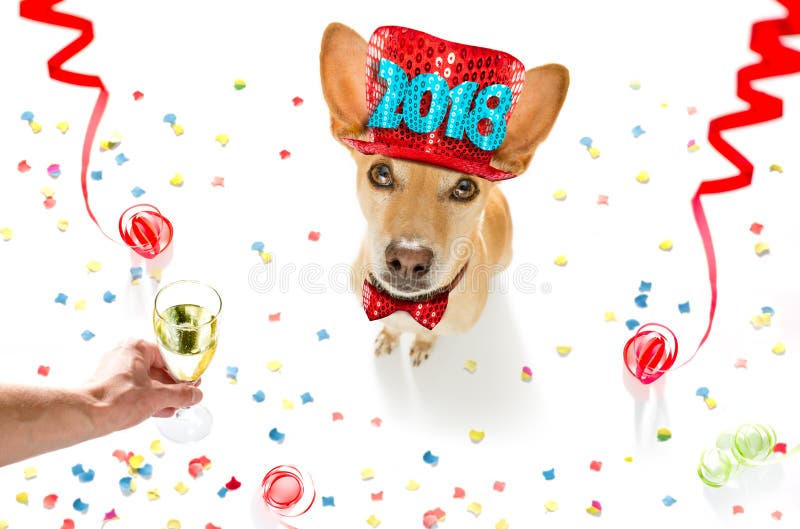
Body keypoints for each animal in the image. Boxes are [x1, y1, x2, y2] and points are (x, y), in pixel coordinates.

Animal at [318, 22, 568, 366]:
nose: (408, 259)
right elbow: (391, 328)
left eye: (464, 188)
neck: (407, 307)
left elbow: (430, 334)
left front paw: (422, 343)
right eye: (381, 174)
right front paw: (389, 336)